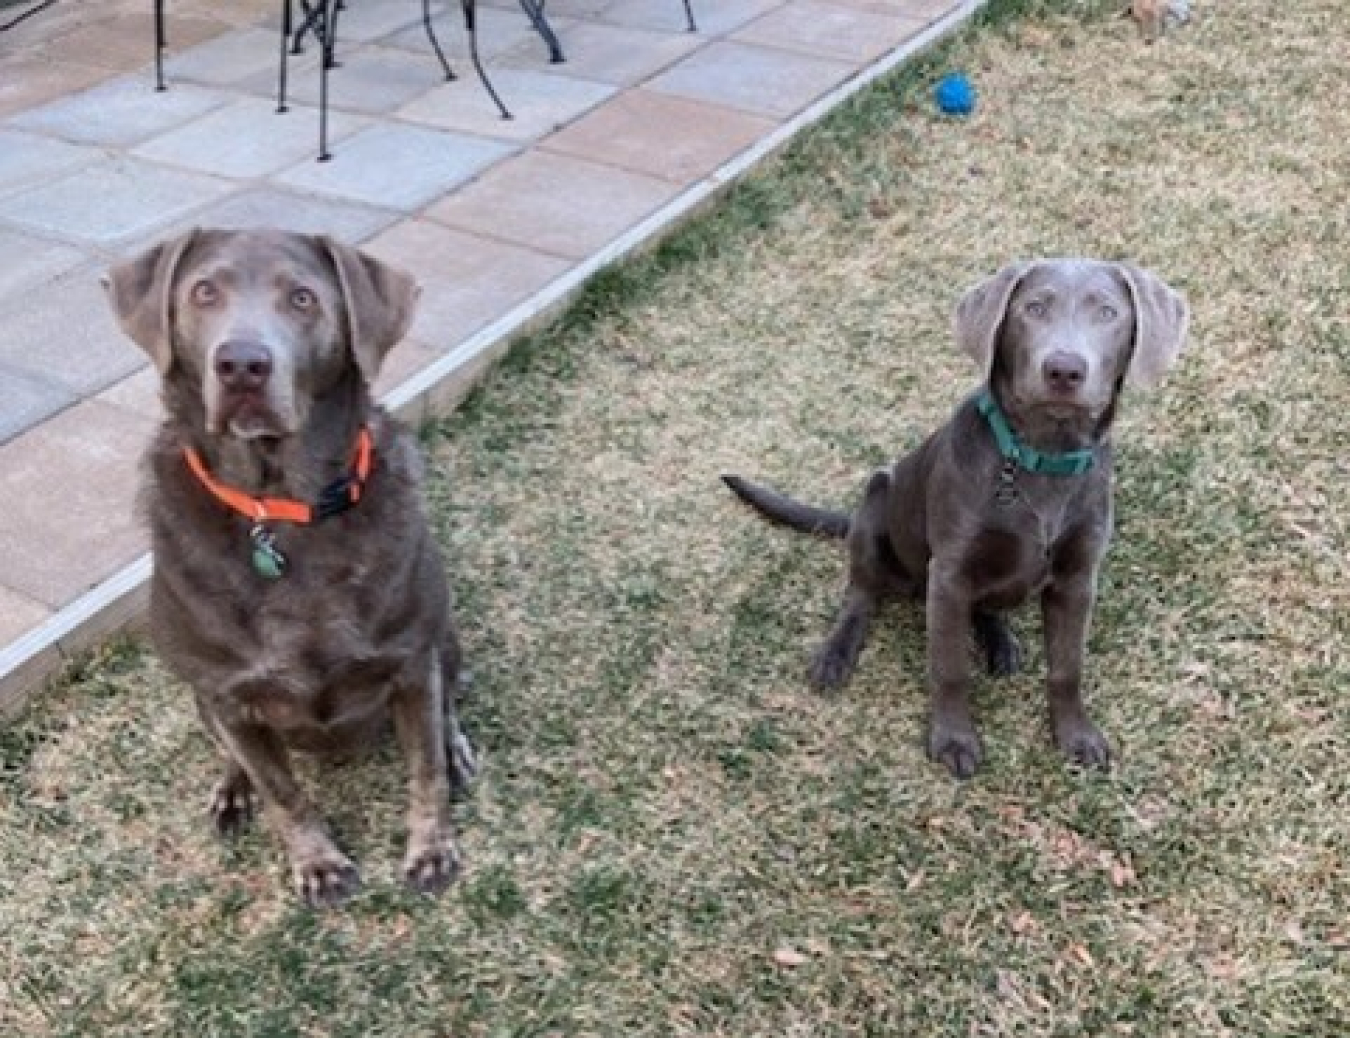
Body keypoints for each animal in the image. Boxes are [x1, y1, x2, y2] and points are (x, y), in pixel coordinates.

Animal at [103, 226, 475, 896]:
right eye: (203, 291)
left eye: (303, 298)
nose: (242, 364)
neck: (280, 506)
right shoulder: (226, 694)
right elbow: (282, 791)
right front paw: (318, 863)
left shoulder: (413, 660)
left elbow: (425, 766)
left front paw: (430, 850)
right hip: (200, 700)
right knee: (235, 754)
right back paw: (232, 789)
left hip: (446, 639)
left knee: (447, 705)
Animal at [723, 259, 1188, 777]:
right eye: (1033, 308)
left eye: (1108, 312)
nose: (1064, 369)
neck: (1041, 457)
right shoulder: (947, 575)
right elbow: (949, 668)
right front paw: (953, 739)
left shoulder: (1077, 577)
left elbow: (1068, 668)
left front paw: (1076, 734)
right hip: (875, 503)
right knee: (861, 592)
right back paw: (838, 652)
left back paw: (1000, 642)